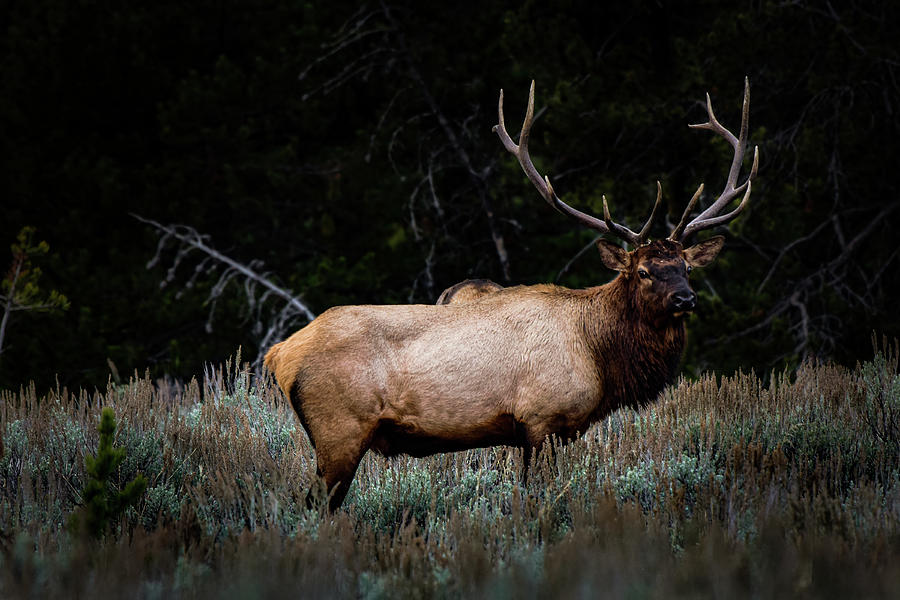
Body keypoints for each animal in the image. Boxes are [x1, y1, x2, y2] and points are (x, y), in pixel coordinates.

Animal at [266, 79, 760, 510]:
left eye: (686, 268)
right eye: (642, 271)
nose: (685, 300)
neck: (598, 354)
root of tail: (281, 353)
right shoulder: (541, 418)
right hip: (340, 428)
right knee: (315, 506)